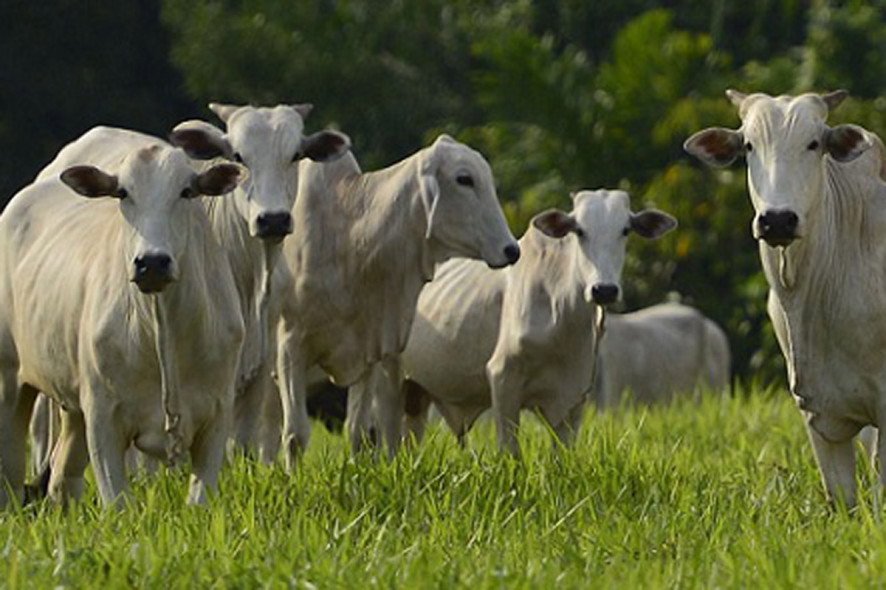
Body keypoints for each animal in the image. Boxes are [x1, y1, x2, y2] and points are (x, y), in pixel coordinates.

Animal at [0, 138, 243, 508]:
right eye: (122, 193)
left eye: (186, 191)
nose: (152, 263)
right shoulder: (104, 418)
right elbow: (118, 503)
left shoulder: (217, 415)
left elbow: (200, 499)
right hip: (9, 383)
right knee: (10, 479)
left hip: (72, 407)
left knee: (62, 474)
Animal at [274, 135, 516, 468]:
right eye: (464, 179)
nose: (512, 250)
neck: (348, 238)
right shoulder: (291, 346)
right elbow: (295, 434)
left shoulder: (370, 350)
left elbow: (359, 432)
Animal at [398, 190, 676, 454]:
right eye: (579, 231)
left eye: (625, 230)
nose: (604, 290)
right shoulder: (503, 380)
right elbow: (510, 450)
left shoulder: (575, 397)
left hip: (417, 394)